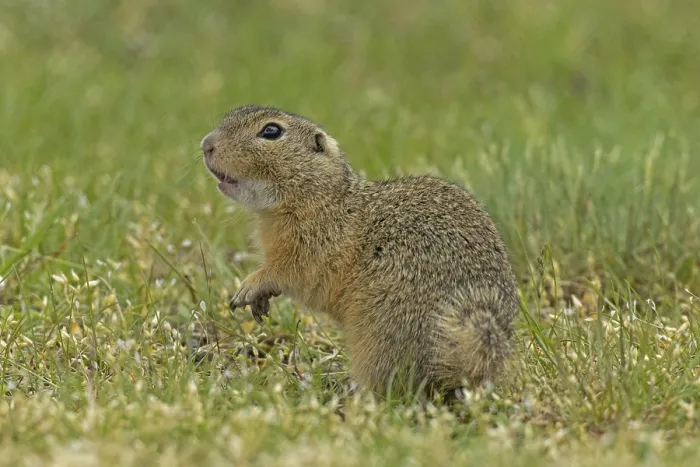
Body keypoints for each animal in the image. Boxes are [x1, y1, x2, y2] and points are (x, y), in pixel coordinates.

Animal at [200, 105, 519, 397]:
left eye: (271, 131)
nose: (206, 144)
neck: (321, 197)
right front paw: (259, 302)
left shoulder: (312, 247)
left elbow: (286, 272)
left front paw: (250, 287)